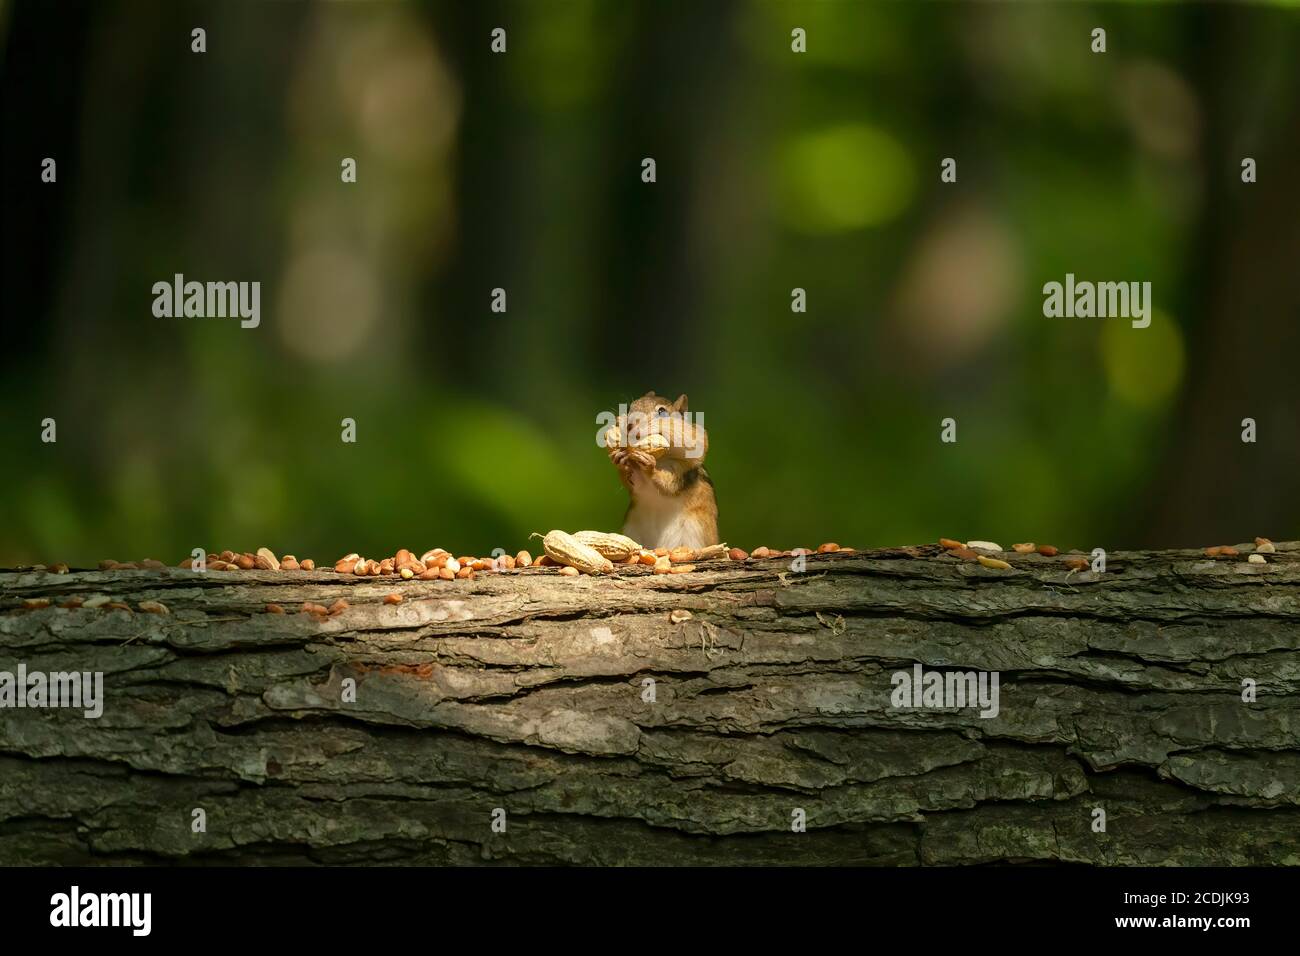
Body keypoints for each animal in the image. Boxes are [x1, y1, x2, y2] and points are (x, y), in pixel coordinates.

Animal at [606, 391, 719, 550]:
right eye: (629, 408)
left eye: (662, 411)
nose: (629, 425)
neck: (661, 458)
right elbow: (634, 483)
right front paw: (621, 460)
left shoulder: (681, 472)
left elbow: (668, 485)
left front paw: (650, 467)